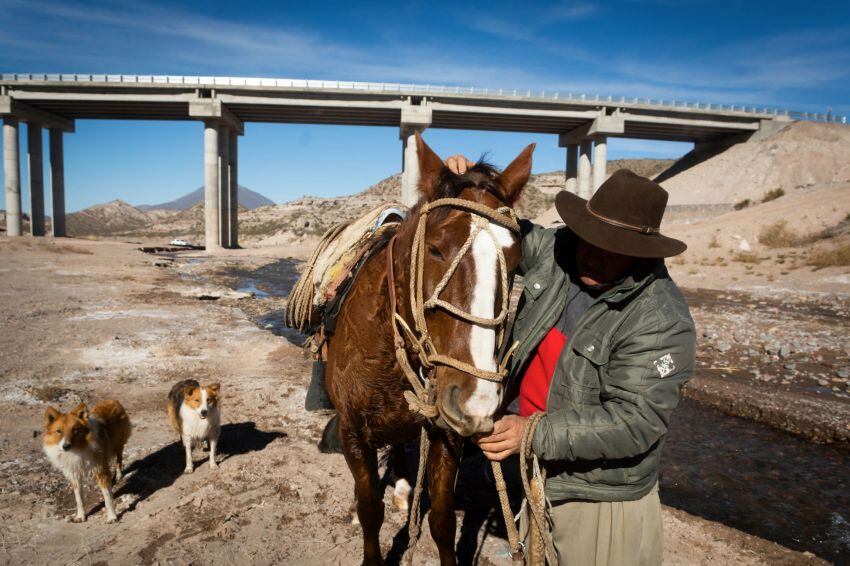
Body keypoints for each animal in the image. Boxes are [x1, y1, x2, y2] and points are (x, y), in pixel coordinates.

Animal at [324, 134, 528, 566]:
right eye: (435, 249)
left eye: (516, 259)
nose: (475, 402)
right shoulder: (352, 432)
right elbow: (370, 509)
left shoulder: (444, 434)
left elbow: (442, 521)